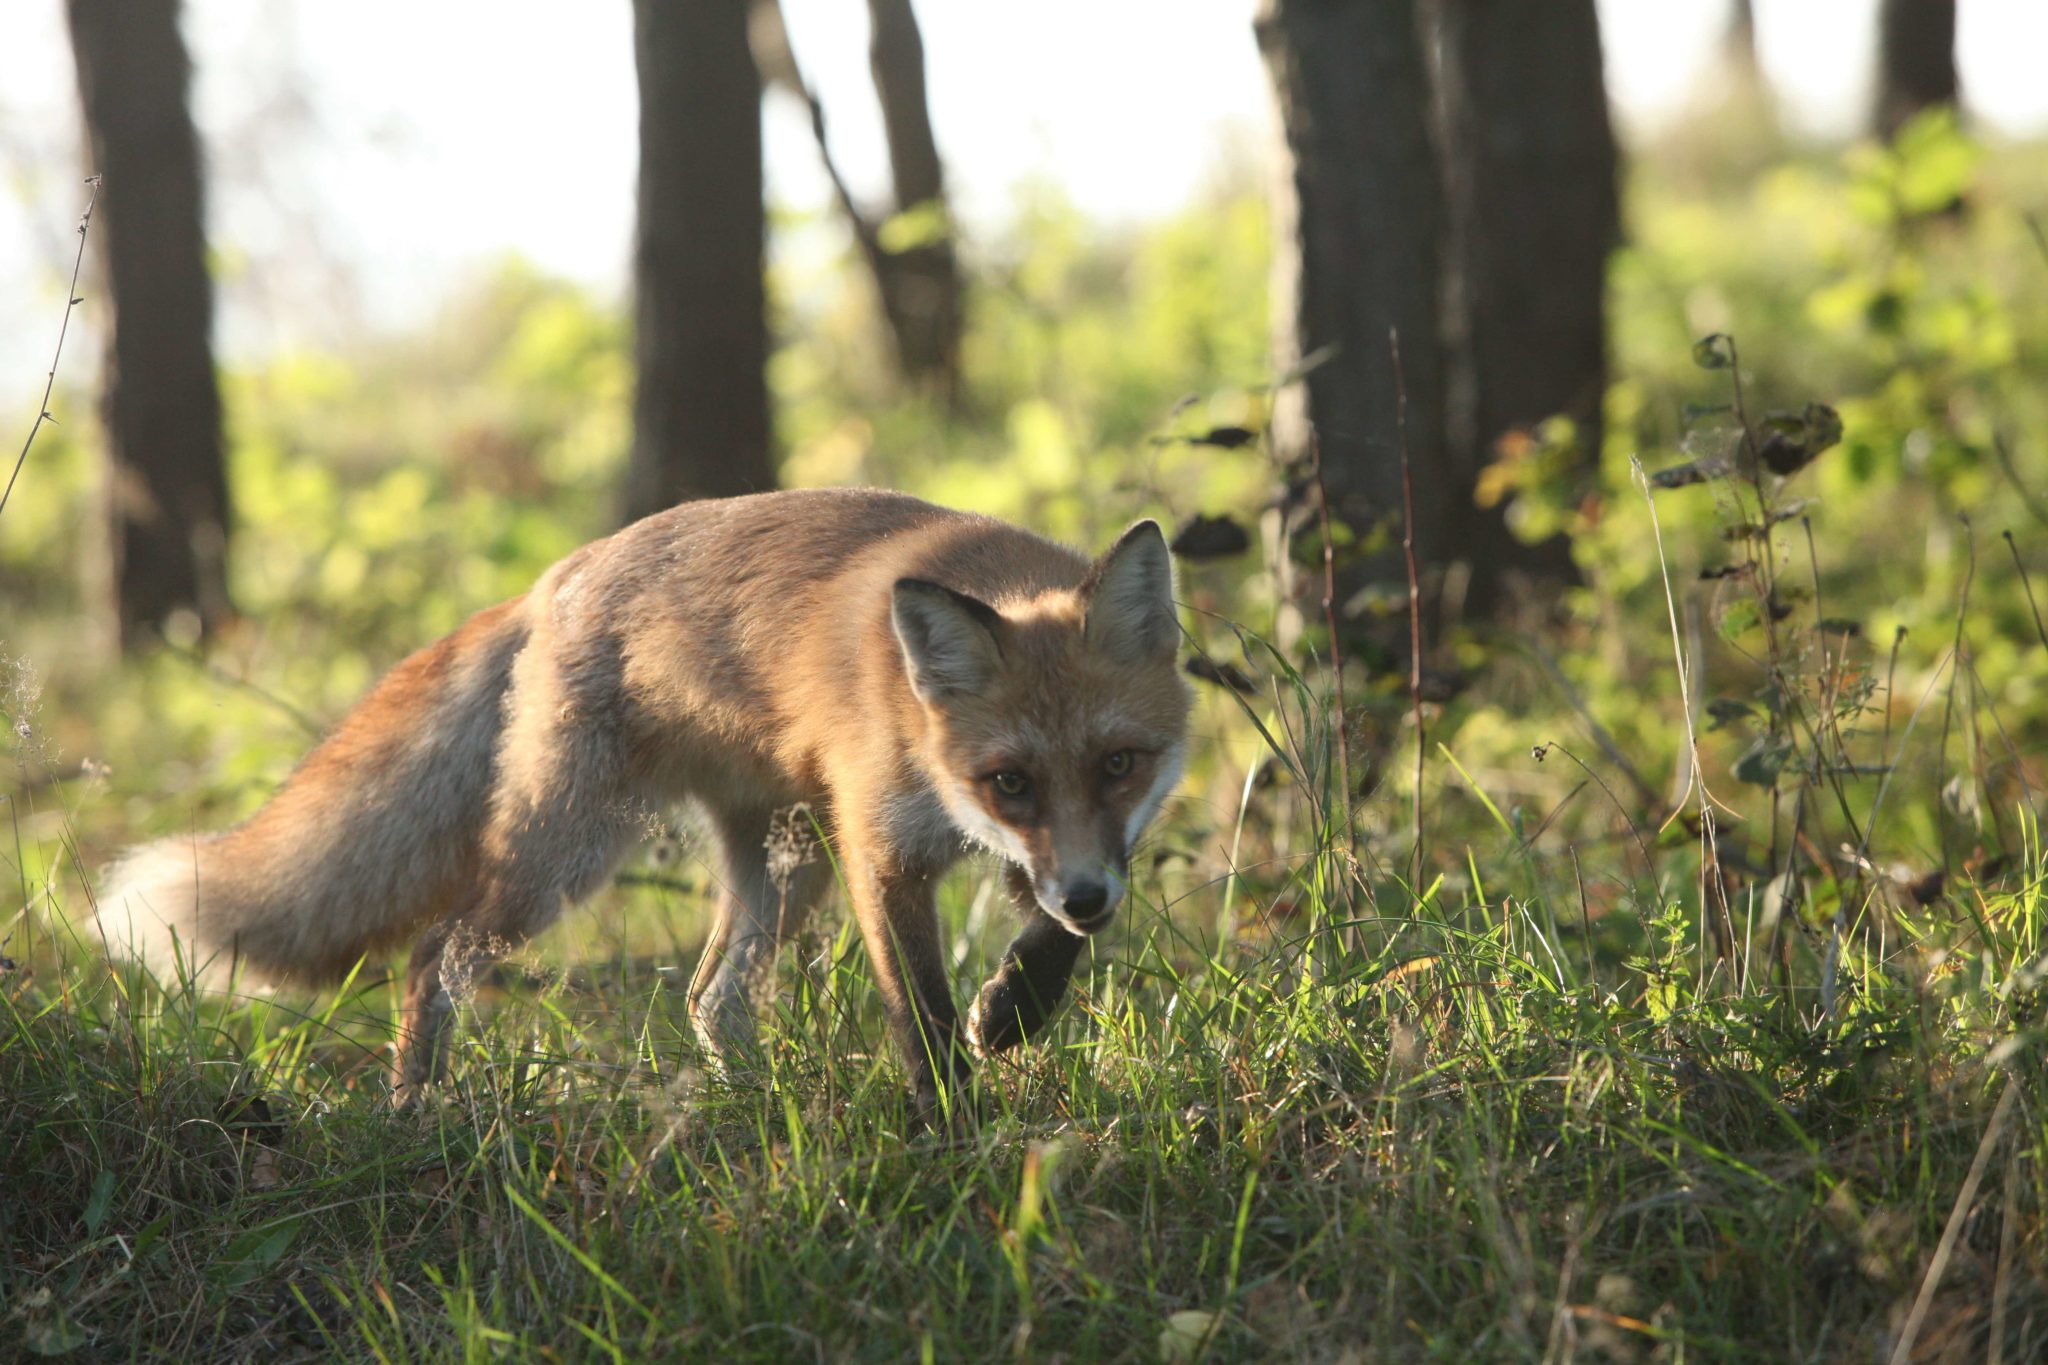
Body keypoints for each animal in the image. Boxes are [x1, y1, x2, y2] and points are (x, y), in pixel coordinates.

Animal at [99, 491, 1187, 1113]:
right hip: (569, 855)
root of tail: (555, 577)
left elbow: (1052, 943)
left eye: (1119, 763)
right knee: (432, 956)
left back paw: (752, 1104)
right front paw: (951, 1124)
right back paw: (415, 1110)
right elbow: (915, 1006)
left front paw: (1012, 1011)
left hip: (787, 864)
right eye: (1009, 779)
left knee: (708, 996)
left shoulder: (1049, 853)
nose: (1088, 896)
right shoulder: (887, 848)